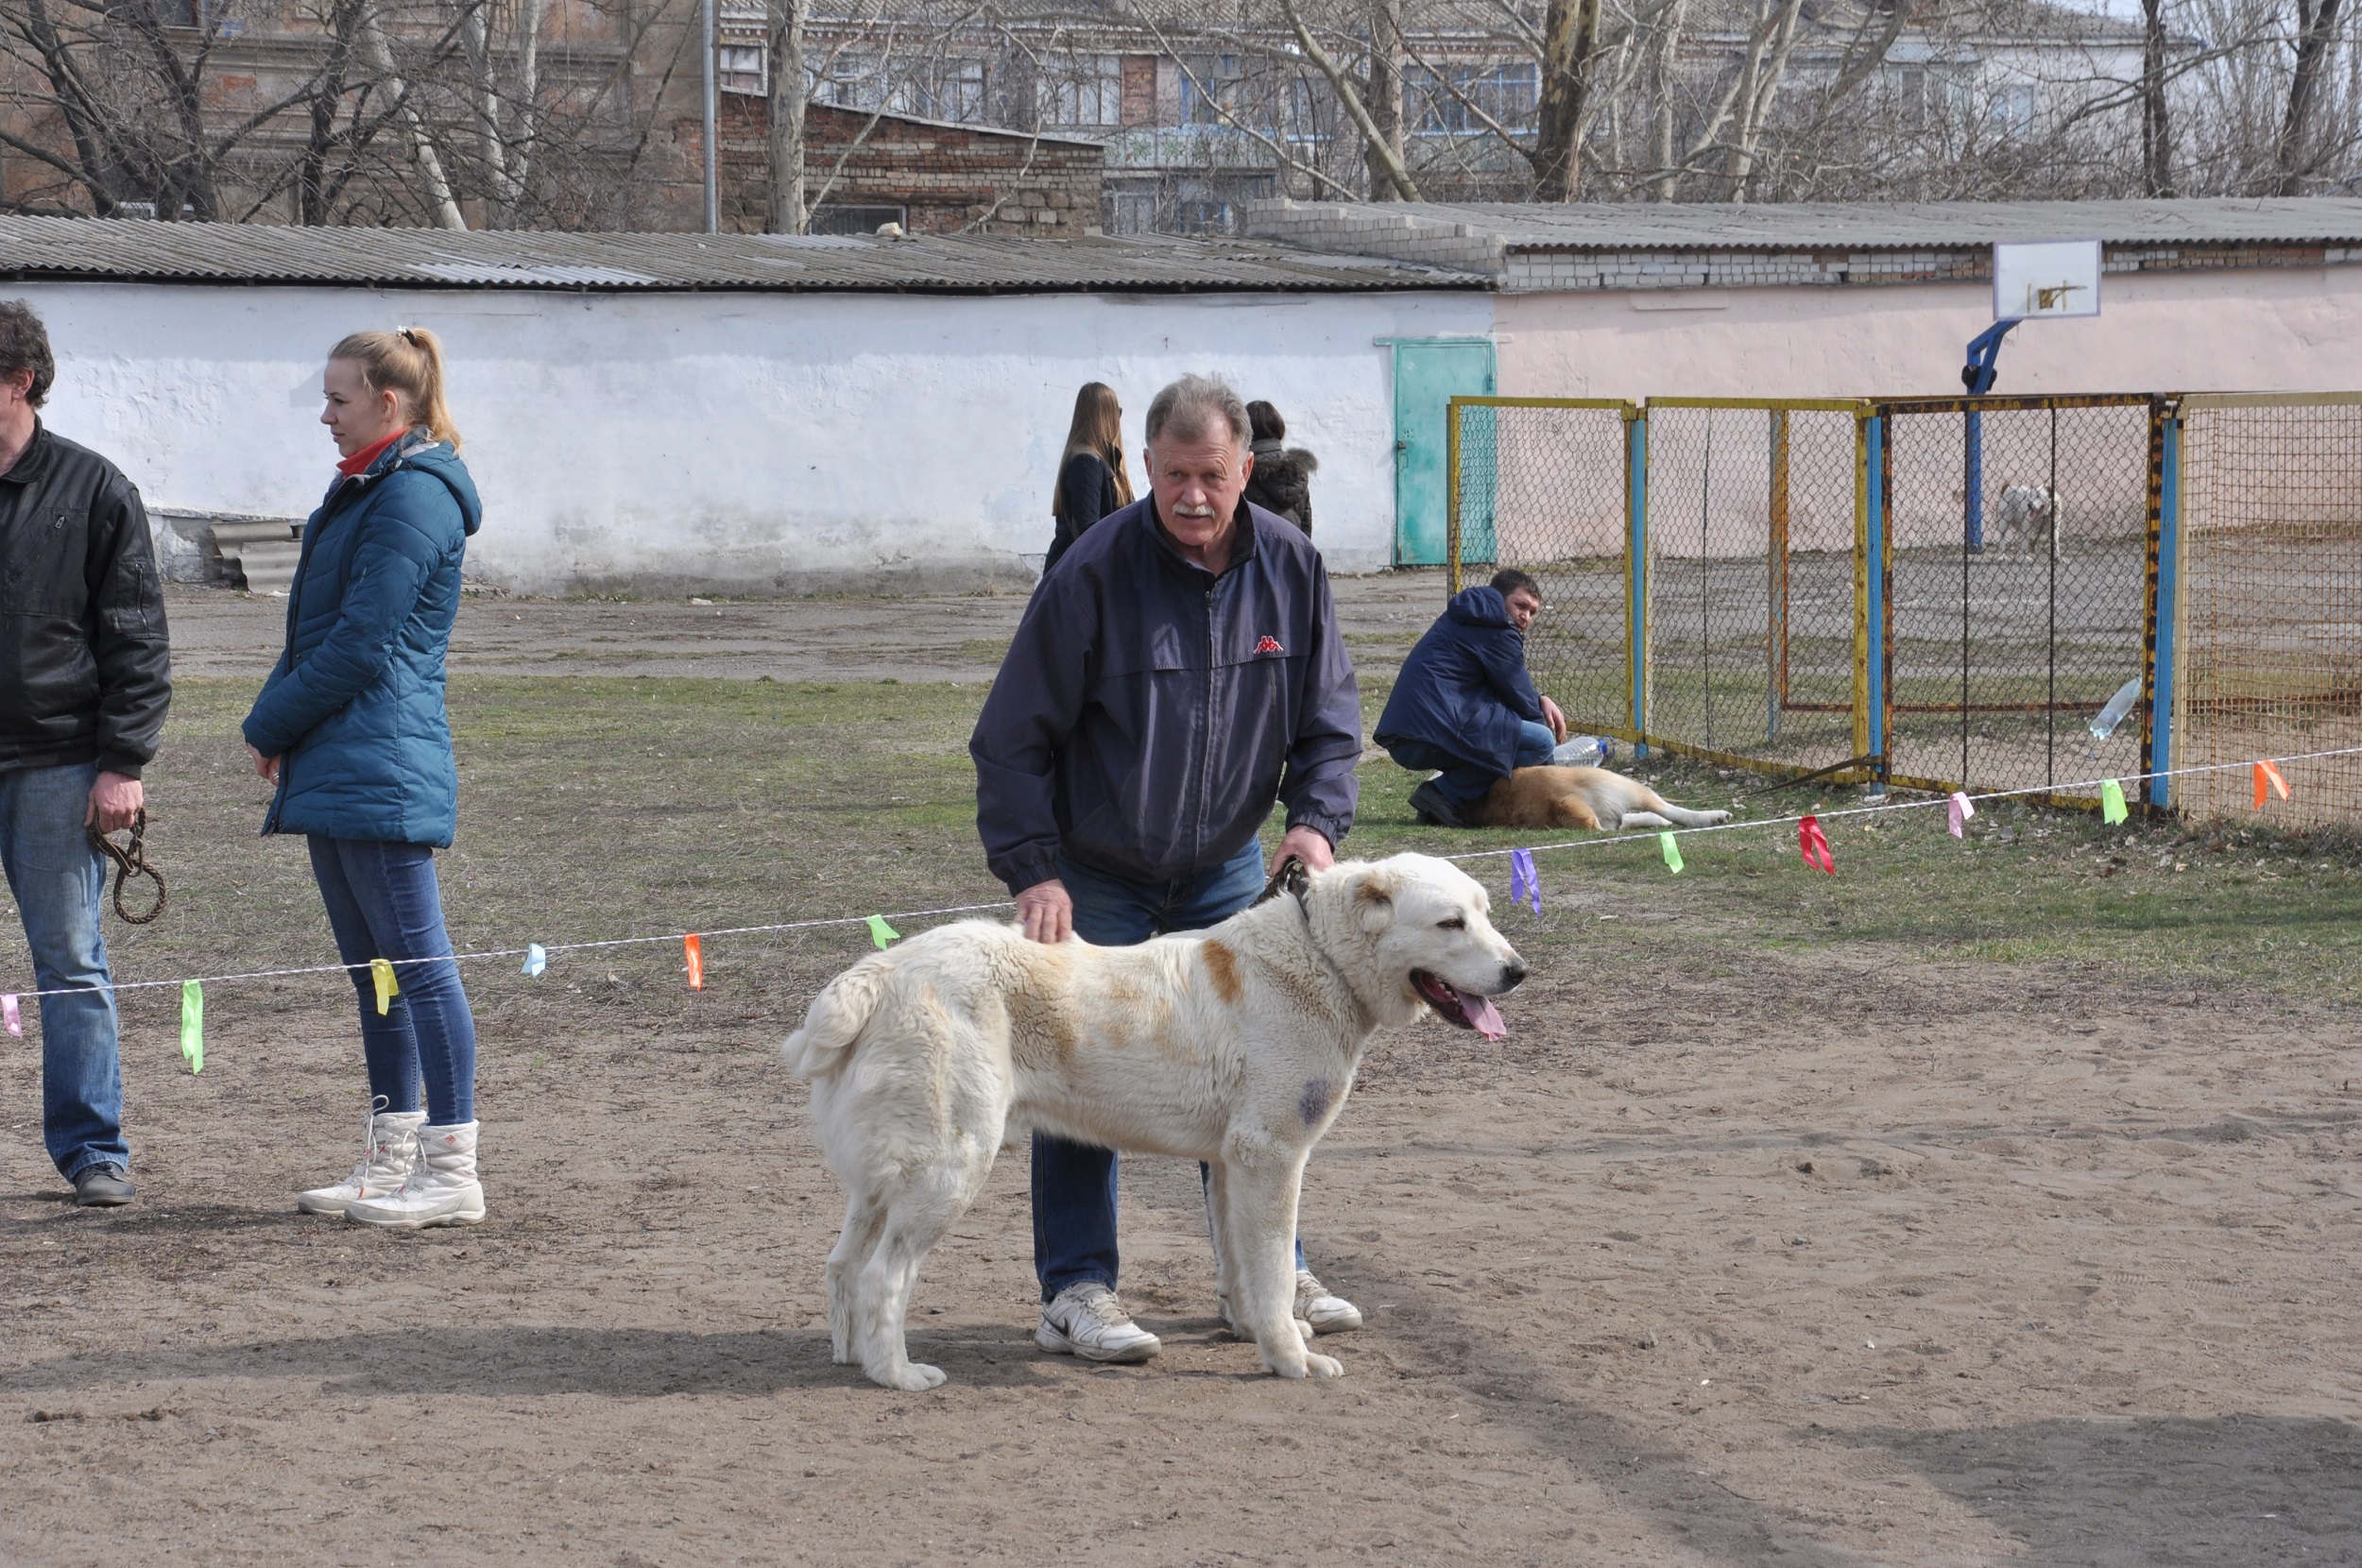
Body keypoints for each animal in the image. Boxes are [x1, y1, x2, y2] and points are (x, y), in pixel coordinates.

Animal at [783, 854, 1526, 1391]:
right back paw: (897, 1374)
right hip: (951, 1166)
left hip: (885, 1180)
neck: (1323, 959)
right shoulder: (1272, 1156)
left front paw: (1255, 1334)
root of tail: (883, 971)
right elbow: (1275, 1272)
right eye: (1450, 924)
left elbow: (1244, 1266)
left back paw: (850, 1357)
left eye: (1485, 915)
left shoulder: (1231, 1165)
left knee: (842, 1265)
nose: (1518, 970)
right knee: (883, 1277)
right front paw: (1293, 1361)